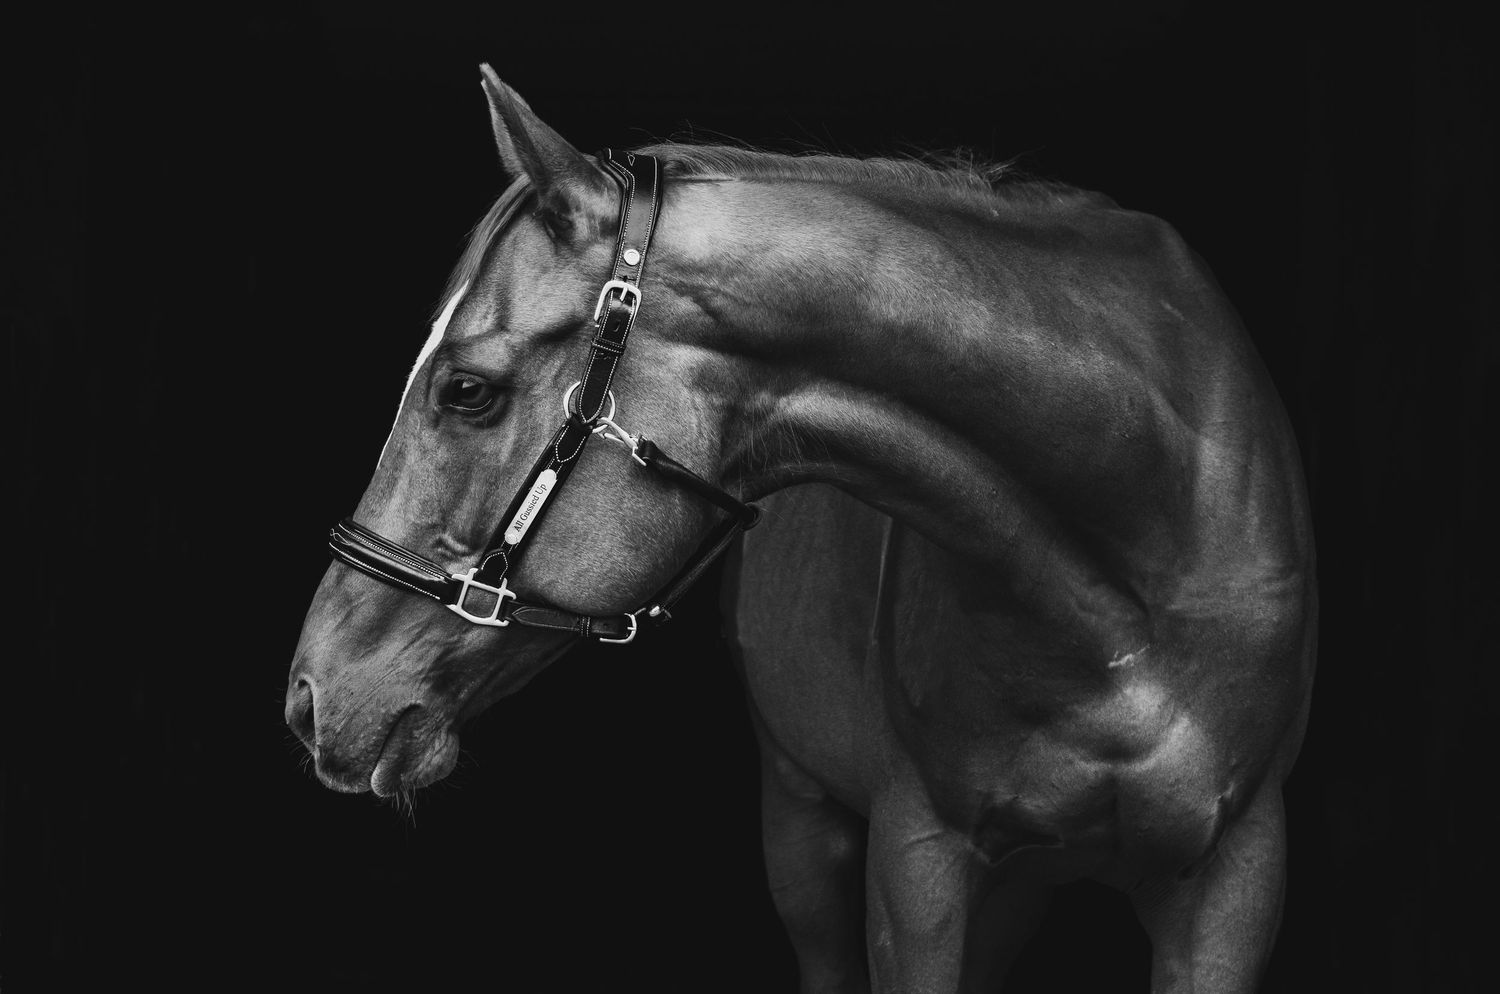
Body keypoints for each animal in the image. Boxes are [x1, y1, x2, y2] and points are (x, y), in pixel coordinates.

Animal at [286, 66, 1317, 993]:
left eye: (467, 389)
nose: (311, 696)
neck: (1139, 536)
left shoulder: (1235, 880)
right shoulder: (917, 862)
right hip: (801, 820)